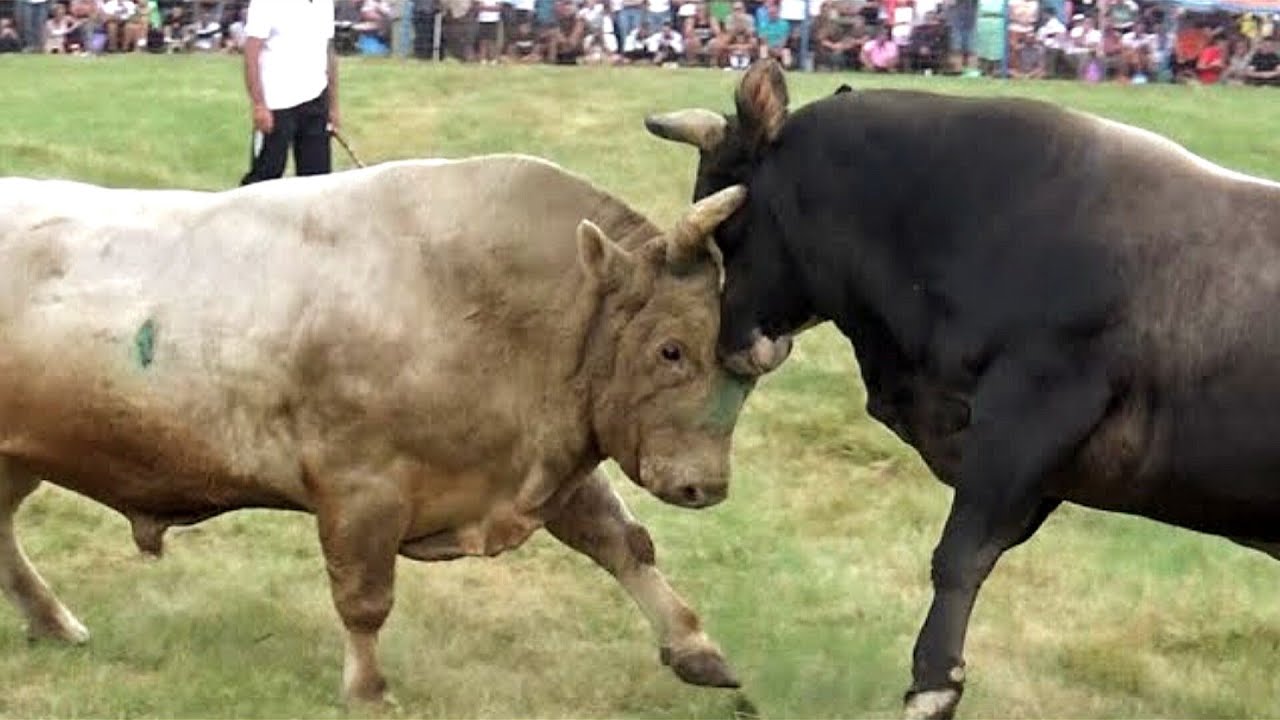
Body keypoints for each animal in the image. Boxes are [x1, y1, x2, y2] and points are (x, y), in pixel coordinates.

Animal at [0, 154, 754, 706]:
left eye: (749, 366)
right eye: (671, 350)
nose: (705, 485)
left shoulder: (553, 461)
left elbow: (624, 542)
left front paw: (697, 647)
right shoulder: (360, 487)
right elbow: (364, 599)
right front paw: (368, 690)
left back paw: (52, 621)